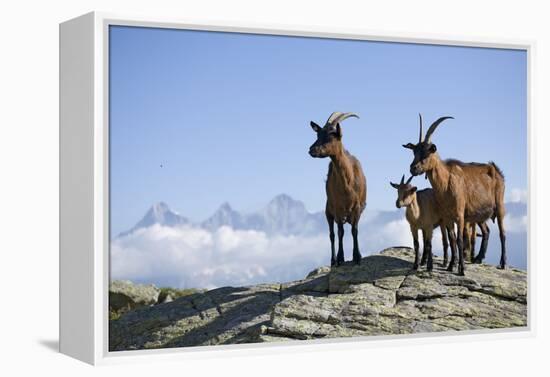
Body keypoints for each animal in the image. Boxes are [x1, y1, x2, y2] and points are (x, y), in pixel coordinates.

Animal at [310, 111, 366, 264]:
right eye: (318, 135)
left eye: (331, 135)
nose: (311, 150)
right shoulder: (338, 207)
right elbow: (340, 232)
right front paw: (341, 258)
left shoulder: (357, 207)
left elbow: (354, 230)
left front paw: (357, 256)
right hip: (328, 211)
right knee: (332, 234)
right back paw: (333, 260)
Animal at [406, 113, 508, 274]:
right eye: (414, 151)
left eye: (427, 152)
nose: (413, 168)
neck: (446, 182)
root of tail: (496, 170)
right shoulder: (447, 217)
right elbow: (452, 239)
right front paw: (450, 265)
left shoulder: (460, 215)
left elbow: (460, 239)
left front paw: (461, 269)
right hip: (479, 215)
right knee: (486, 231)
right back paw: (478, 258)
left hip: (499, 206)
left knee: (502, 233)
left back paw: (503, 263)